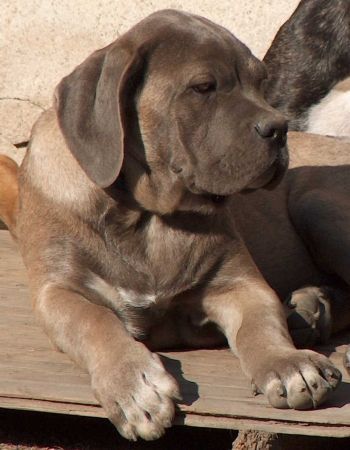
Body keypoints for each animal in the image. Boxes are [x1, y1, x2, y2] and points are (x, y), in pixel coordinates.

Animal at [0, 8, 344, 442]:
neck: (144, 215)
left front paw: (287, 362)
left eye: (261, 82)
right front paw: (134, 385)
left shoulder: (239, 283)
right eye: (203, 87)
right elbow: (95, 323)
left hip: (316, 205)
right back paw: (312, 308)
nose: (279, 128)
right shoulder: (58, 290)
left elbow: (261, 326)